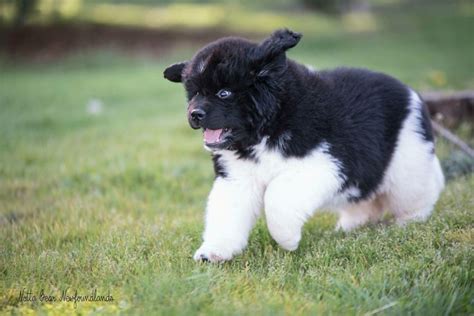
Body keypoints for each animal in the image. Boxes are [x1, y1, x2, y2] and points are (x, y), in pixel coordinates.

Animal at [163, 29, 444, 262]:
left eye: (224, 93)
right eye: (195, 93)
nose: (194, 114)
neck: (269, 124)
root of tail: (412, 94)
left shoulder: (323, 163)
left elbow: (276, 198)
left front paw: (287, 240)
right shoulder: (237, 178)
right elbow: (225, 213)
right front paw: (213, 252)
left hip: (407, 162)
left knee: (418, 194)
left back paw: (410, 223)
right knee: (365, 198)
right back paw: (349, 227)